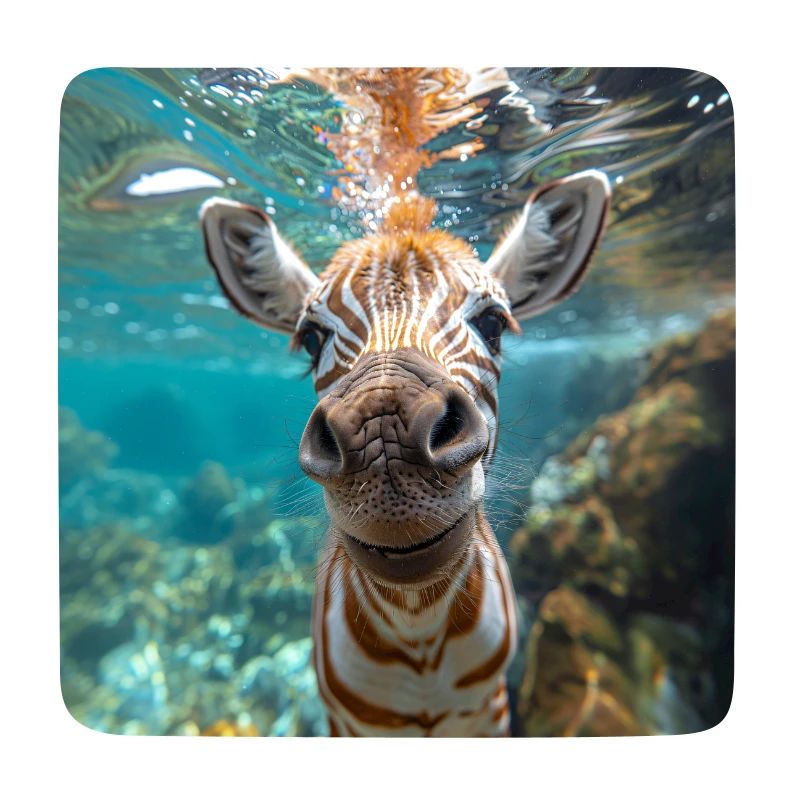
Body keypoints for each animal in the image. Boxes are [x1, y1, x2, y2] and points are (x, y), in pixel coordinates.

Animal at [200, 171, 610, 736]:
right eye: (311, 338)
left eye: (493, 323)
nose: (384, 437)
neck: (420, 630)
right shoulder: (346, 722)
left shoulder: (489, 709)